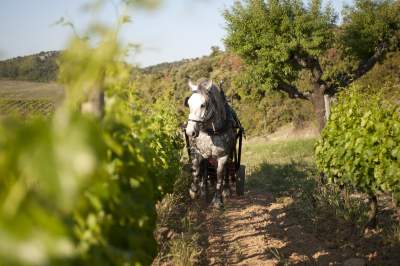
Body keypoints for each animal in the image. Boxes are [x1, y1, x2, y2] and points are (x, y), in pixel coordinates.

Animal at [186, 79, 236, 208]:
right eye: (189, 103)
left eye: (203, 105)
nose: (190, 132)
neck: (212, 132)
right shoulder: (198, 152)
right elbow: (196, 169)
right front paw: (194, 191)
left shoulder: (223, 156)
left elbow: (219, 176)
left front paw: (218, 199)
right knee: (204, 169)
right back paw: (204, 189)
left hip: (231, 152)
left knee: (228, 168)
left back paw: (226, 189)